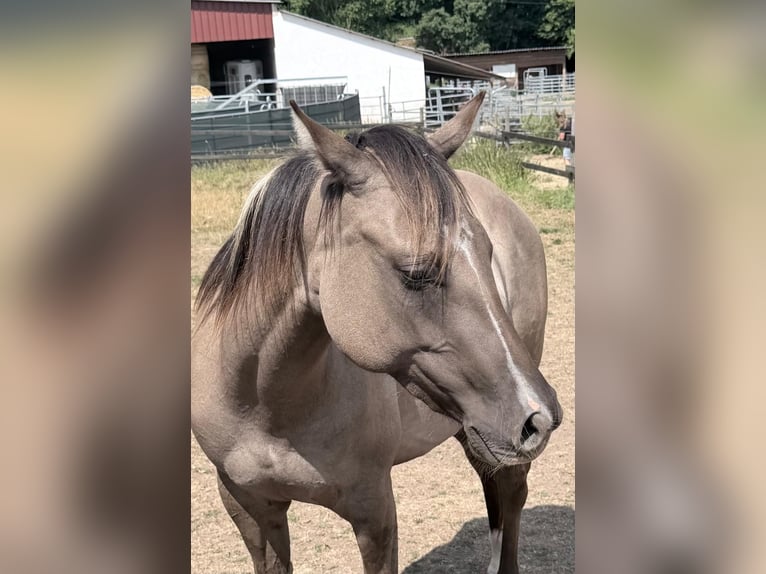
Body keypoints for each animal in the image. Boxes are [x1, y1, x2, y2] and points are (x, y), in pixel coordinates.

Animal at [191, 92, 563, 574]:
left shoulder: (374, 512)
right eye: (416, 272)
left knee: (511, 493)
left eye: (487, 252)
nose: (539, 416)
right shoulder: (249, 508)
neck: (266, 406)